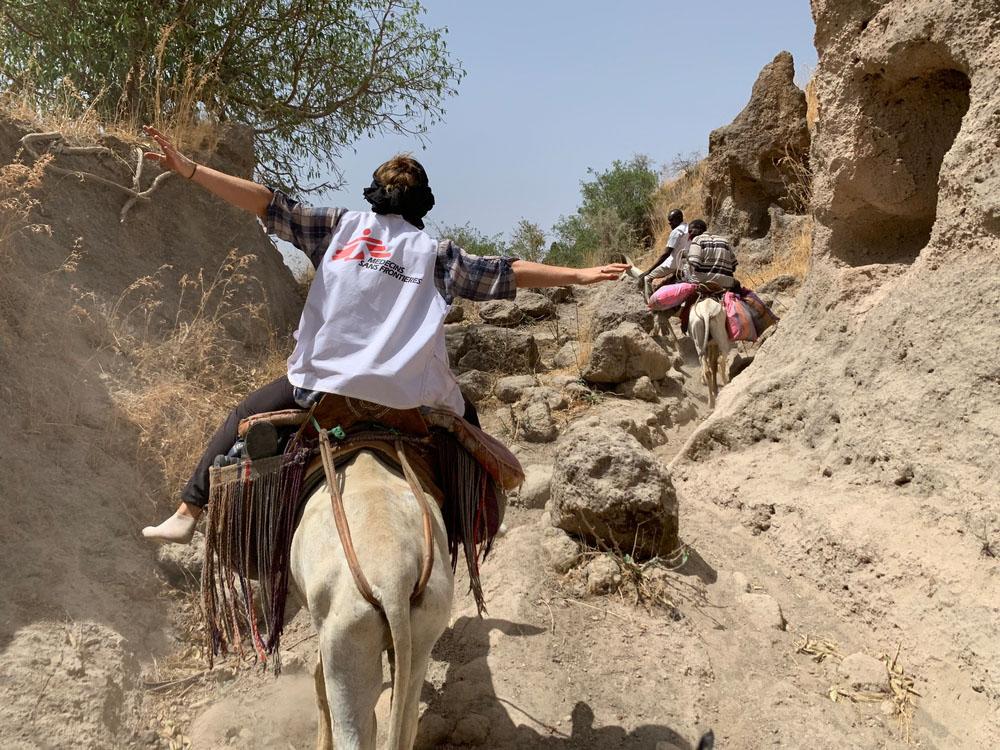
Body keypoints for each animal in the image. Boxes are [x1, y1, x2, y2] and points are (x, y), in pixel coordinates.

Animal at [290, 452, 454, 750]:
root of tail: (393, 574)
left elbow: (318, 678)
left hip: (347, 637)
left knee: (351, 726)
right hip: (427, 621)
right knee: (406, 716)